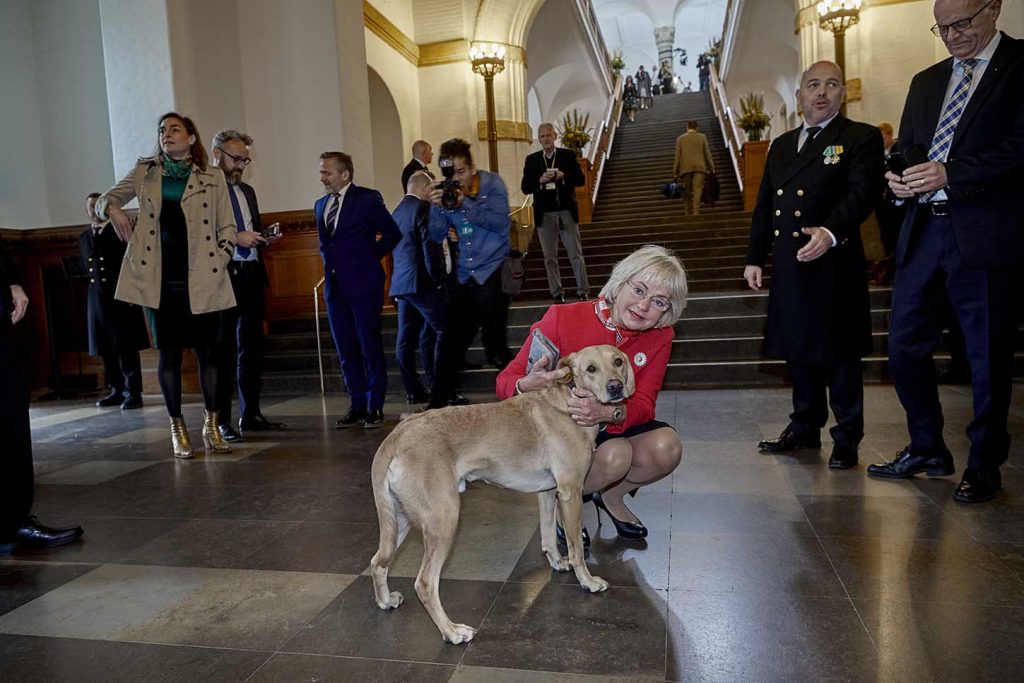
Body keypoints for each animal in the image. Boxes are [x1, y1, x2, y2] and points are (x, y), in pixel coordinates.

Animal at [372, 344, 634, 643]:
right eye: (591, 368)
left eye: (618, 362)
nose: (615, 387)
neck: (567, 403)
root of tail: (398, 435)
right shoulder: (571, 492)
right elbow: (577, 549)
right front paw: (588, 582)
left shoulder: (548, 492)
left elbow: (548, 536)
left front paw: (558, 563)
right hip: (443, 519)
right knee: (425, 583)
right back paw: (452, 631)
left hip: (399, 520)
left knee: (378, 562)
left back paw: (386, 601)